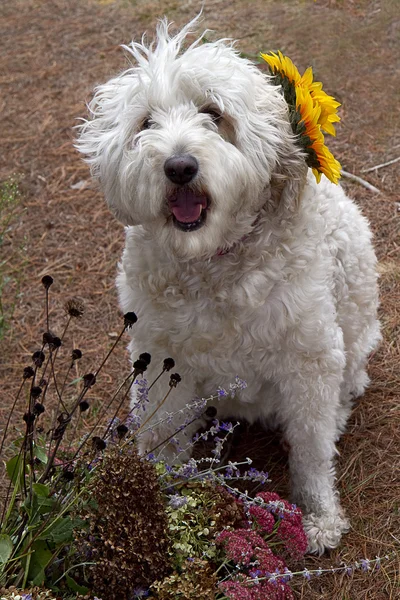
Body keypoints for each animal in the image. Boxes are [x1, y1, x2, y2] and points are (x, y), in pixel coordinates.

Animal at [76, 17, 380, 552]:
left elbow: (311, 449)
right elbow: (161, 440)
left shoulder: (310, 362)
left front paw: (319, 515)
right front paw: (159, 511)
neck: (213, 266)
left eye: (213, 114)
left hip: (355, 341)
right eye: (146, 124)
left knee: (344, 390)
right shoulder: (161, 364)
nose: (178, 166)